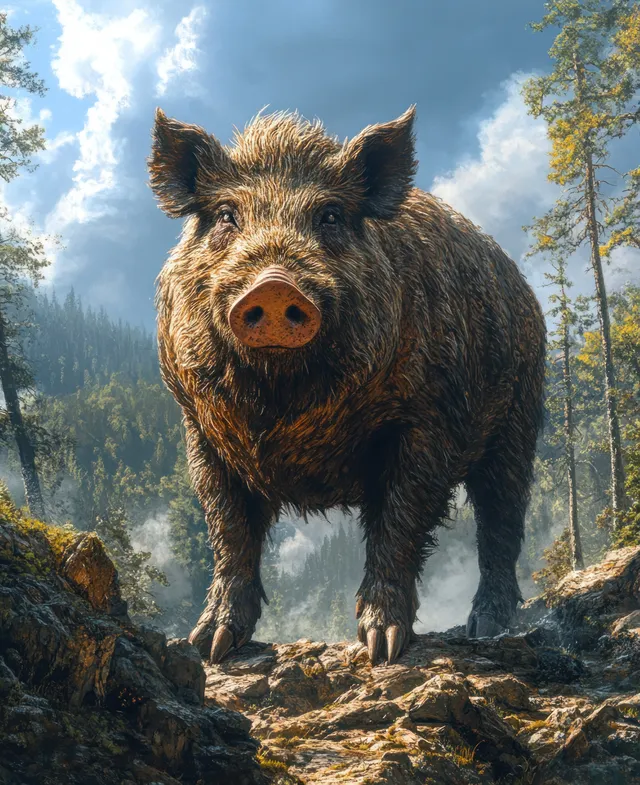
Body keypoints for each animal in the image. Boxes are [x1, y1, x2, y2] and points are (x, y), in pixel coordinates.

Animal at [148, 106, 546, 666]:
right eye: (227, 215)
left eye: (331, 215)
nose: (274, 285)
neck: (285, 397)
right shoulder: (200, 429)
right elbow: (228, 530)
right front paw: (209, 646)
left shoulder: (429, 420)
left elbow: (401, 522)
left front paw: (383, 648)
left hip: (518, 418)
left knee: (501, 520)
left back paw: (485, 627)